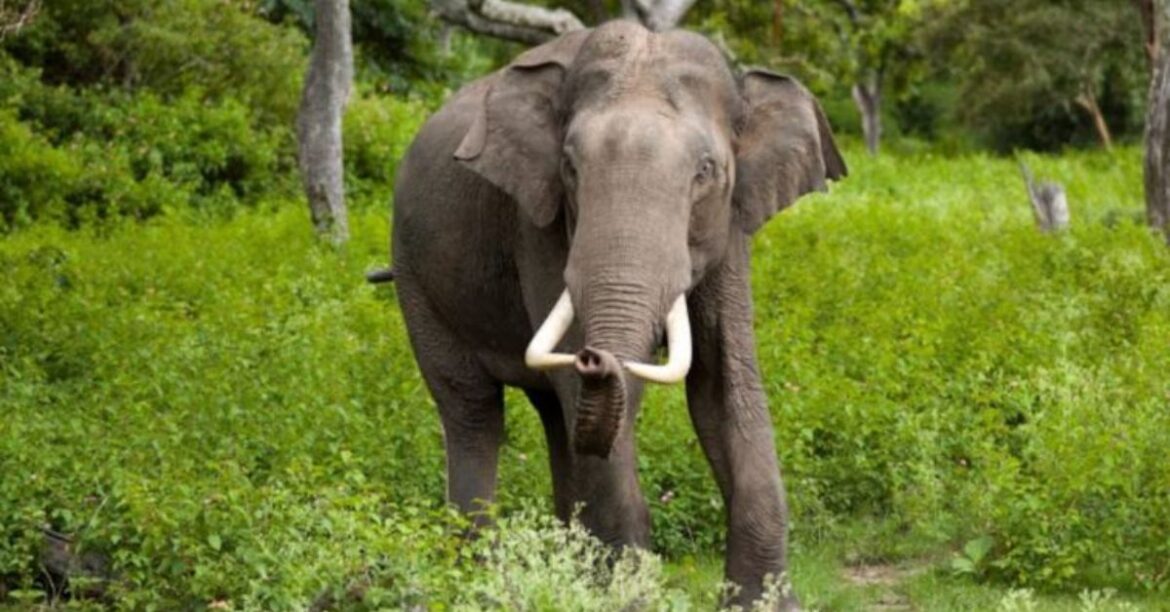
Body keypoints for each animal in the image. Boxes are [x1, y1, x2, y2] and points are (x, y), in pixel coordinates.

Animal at [382, 20, 845, 609]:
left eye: (706, 172)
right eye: (570, 168)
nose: (594, 357)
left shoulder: (731, 226)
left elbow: (723, 386)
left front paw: (765, 604)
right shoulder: (538, 223)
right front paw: (624, 597)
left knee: (555, 417)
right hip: (415, 276)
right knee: (473, 411)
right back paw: (478, 580)